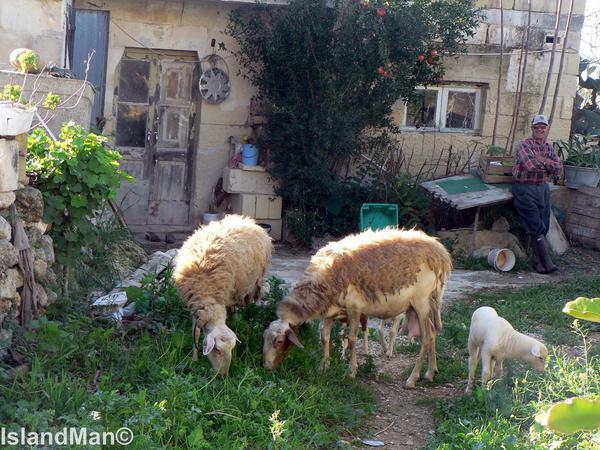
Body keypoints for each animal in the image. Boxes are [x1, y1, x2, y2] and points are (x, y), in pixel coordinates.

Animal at [172, 214, 274, 376]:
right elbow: (196, 333)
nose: (223, 376)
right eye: (218, 350)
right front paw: (194, 360)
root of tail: (247, 220)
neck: (206, 291)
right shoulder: (195, 307)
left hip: (250, 286)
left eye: (232, 349)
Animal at [262, 229, 450, 386]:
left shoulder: (354, 309)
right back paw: (431, 372)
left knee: (427, 337)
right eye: (264, 337)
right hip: (421, 305)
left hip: (421, 301)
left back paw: (412, 379)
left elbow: (352, 339)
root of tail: (439, 253)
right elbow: (324, 337)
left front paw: (351, 371)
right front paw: (323, 367)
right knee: (433, 333)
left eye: (279, 341)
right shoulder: (330, 313)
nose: (267, 368)